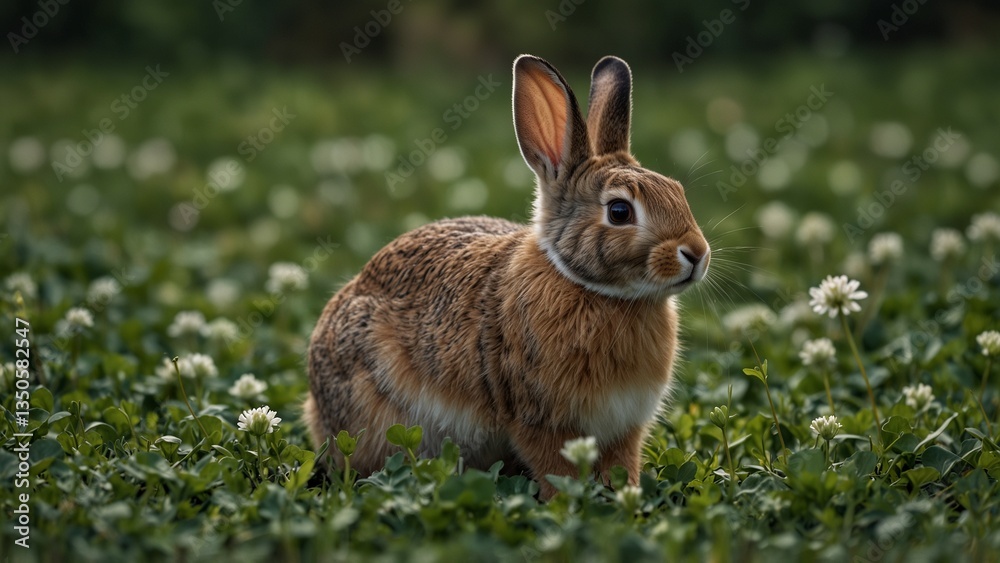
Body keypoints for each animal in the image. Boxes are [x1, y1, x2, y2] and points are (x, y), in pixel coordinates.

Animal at [304, 54, 710, 498]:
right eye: (620, 212)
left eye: (678, 192)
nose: (698, 254)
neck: (598, 291)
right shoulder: (539, 421)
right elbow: (556, 469)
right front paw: (566, 501)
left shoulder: (624, 426)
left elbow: (622, 464)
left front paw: (627, 493)